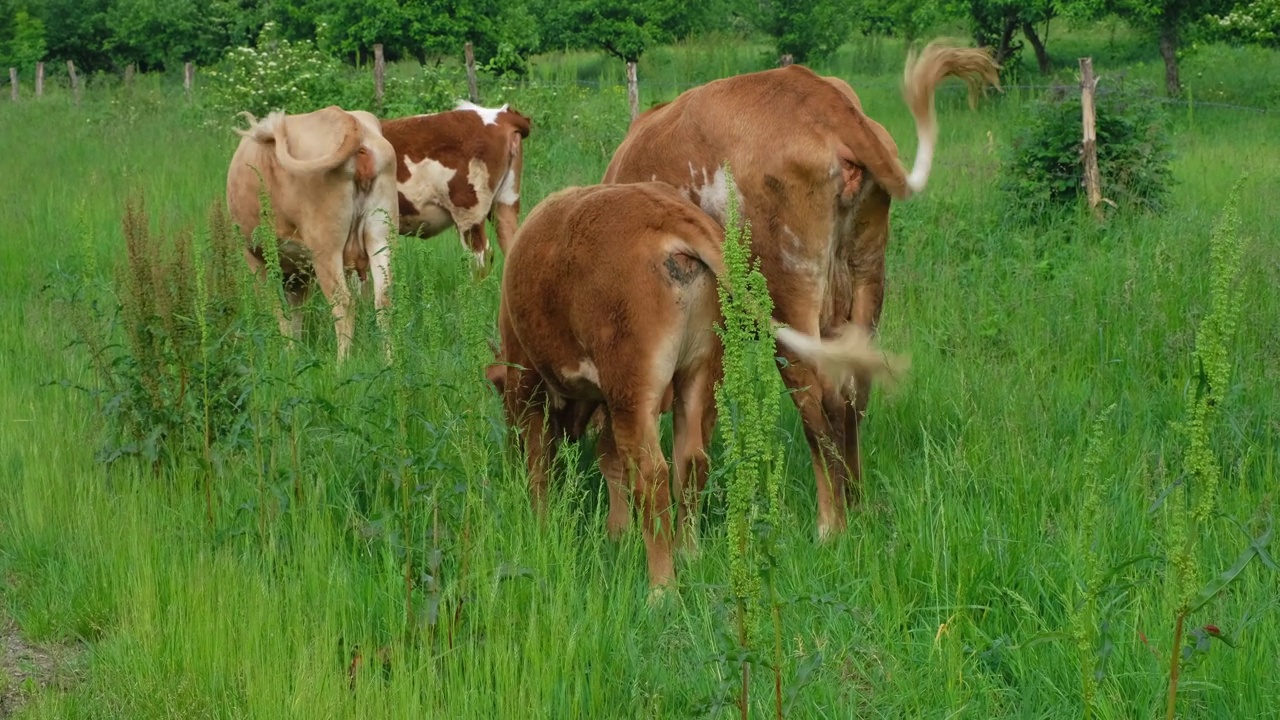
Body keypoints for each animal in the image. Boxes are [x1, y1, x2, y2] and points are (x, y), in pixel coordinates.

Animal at [224, 103, 394, 361]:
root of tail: (347, 120)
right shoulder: (299, 273)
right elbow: (296, 311)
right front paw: (294, 350)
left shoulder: (256, 256)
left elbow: (276, 306)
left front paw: (285, 353)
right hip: (380, 235)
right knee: (383, 298)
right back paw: (391, 361)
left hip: (325, 248)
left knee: (343, 302)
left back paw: (342, 363)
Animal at [483, 179, 906, 589]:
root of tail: (664, 212)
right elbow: (609, 459)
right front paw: (618, 533)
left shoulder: (529, 381)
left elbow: (540, 459)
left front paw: (540, 524)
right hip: (700, 371)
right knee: (695, 460)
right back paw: (691, 553)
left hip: (633, 386)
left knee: (652, 474)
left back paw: (662, 587)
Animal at [599, 36, 998, 535]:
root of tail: (814, 93)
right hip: (865, 277)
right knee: (854, 389)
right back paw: (856, 505)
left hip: (788, 297)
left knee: (817, 397)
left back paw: (831, 524)